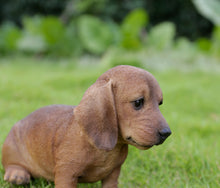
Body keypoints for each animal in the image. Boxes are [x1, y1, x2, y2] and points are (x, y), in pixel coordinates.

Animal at [2, 65, 172, 187]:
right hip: (11, 147)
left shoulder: (113, 175)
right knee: (10, 164)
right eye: (138, 102)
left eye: (160, 103)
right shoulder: (66, 174)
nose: (167, 133)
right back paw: (17, 174)